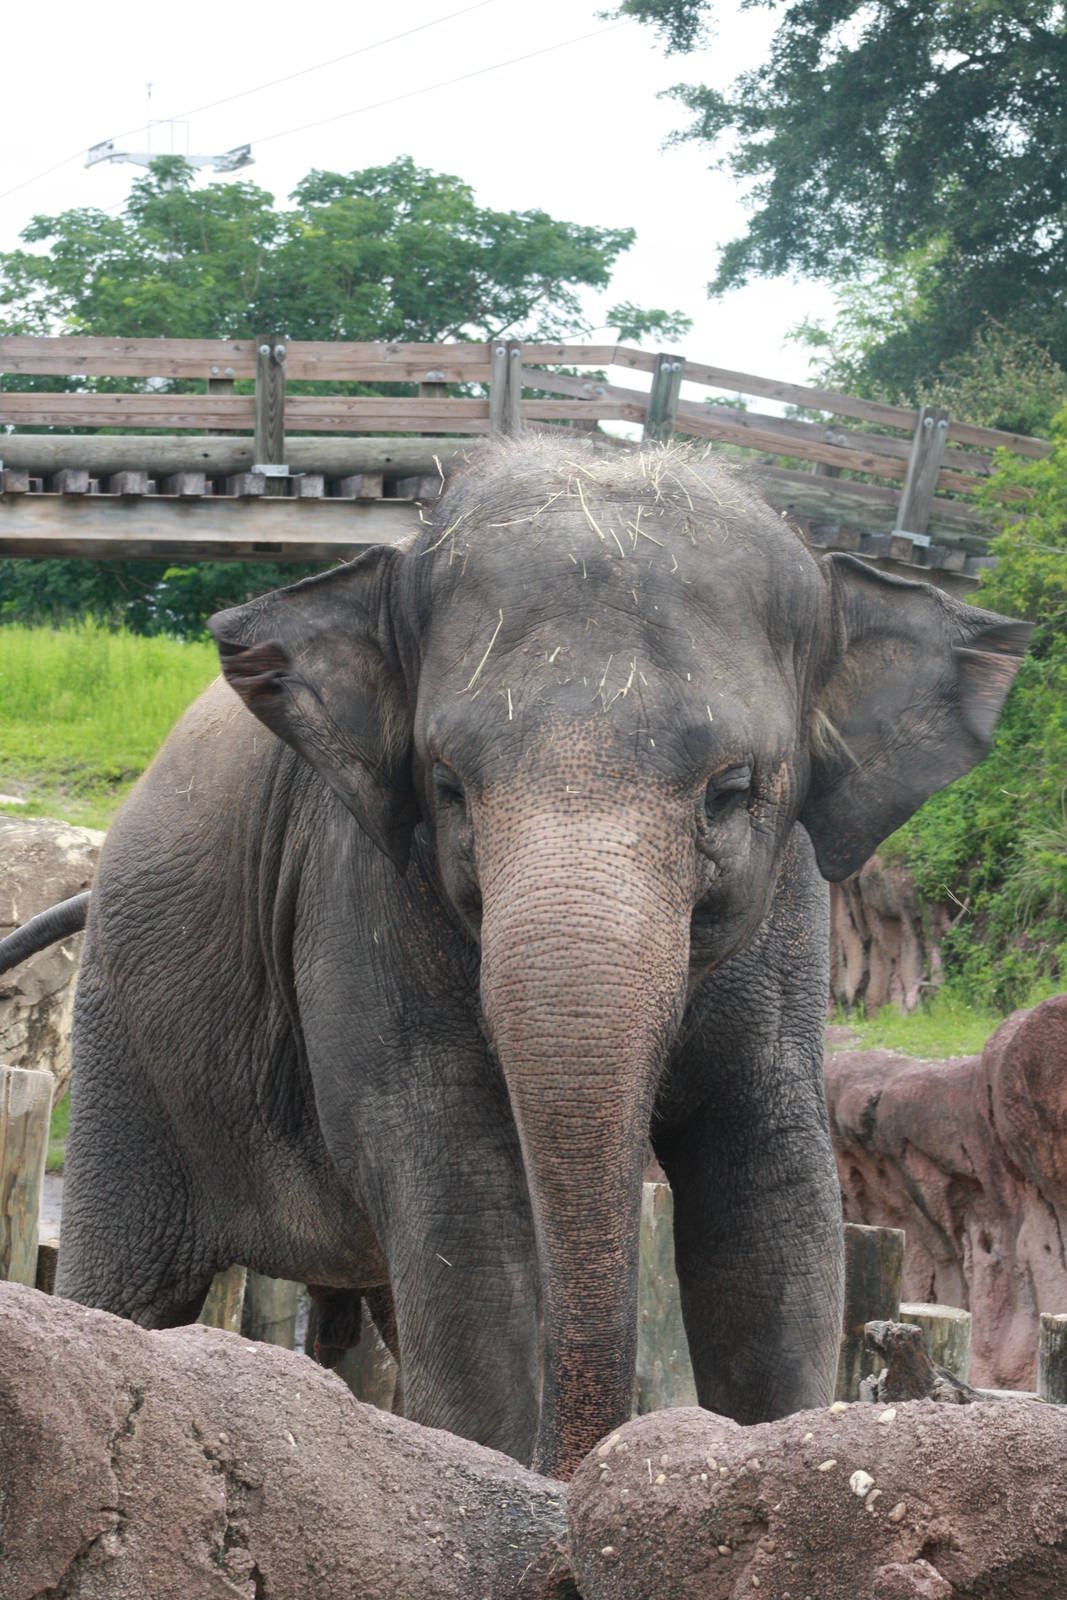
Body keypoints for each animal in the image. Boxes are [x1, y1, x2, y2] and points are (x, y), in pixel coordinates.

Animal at [48, 437, 1028, 1479]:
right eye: (446, 787)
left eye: (729, 791)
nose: (586, 1461)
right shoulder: (358, 883)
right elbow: (456, 1183)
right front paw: (505, 1483)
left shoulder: (792, 911)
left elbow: (768, 1185)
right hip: (124, 1035)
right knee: (128, 1283)